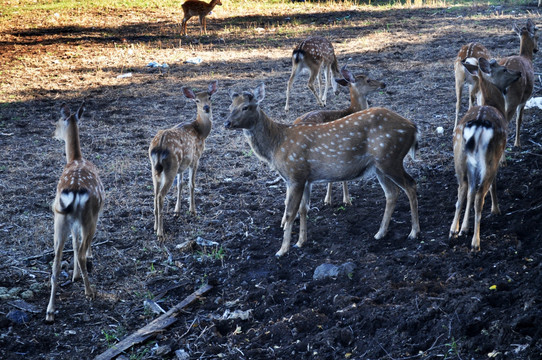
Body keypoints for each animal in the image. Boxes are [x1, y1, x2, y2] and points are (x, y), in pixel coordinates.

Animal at [47, 102, 106, 322]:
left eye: (56, 122)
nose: (53, 133)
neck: (77, 158)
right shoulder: (96, 214)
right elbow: (83, 244)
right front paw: (86, 264)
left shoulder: (71, 223)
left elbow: (74, 242)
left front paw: (74, 275)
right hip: (88, 217)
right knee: (81, 251)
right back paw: (90, 292)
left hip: (59, 221)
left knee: (55, 264)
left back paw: (50, 311)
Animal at [151, 80, 219, 238]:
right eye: (196, 100)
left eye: (209, 97)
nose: (206, 107)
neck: (201, 131)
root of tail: (159, 146)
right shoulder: (195, 158)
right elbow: (191, 184)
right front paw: (192, 210)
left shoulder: (182, 165)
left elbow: (180, 184)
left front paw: (177, 211)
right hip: (170, 167)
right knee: (160, 196)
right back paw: (160, 233)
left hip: (155, 169)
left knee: (155, 194)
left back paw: (155, 227)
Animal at [225, 83, 420, 258]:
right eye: (230, 106)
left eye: (245, 107)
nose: (227, 122)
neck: (276, 145)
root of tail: (413, 127)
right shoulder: (304, 178)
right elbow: (303, 209)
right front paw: (300, 242)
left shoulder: (295, 174)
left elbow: (290, 213)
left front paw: (282, 250)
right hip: (379, 165)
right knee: (392, 193)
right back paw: (380, 233)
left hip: (390, 158)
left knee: (410, 185)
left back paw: (413, 232)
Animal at [450, 57, 524, 252]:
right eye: (504, 69)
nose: (519, 73)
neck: (492, 103)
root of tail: (477, 127)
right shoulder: (496, 157)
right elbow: (492, 186)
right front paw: (496, 209)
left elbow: (469, 191)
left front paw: (464, 228)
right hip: (489, 157)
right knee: (479, 195)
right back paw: (476, 242)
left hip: (459, 156)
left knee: (462, 189)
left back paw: (453, 230)